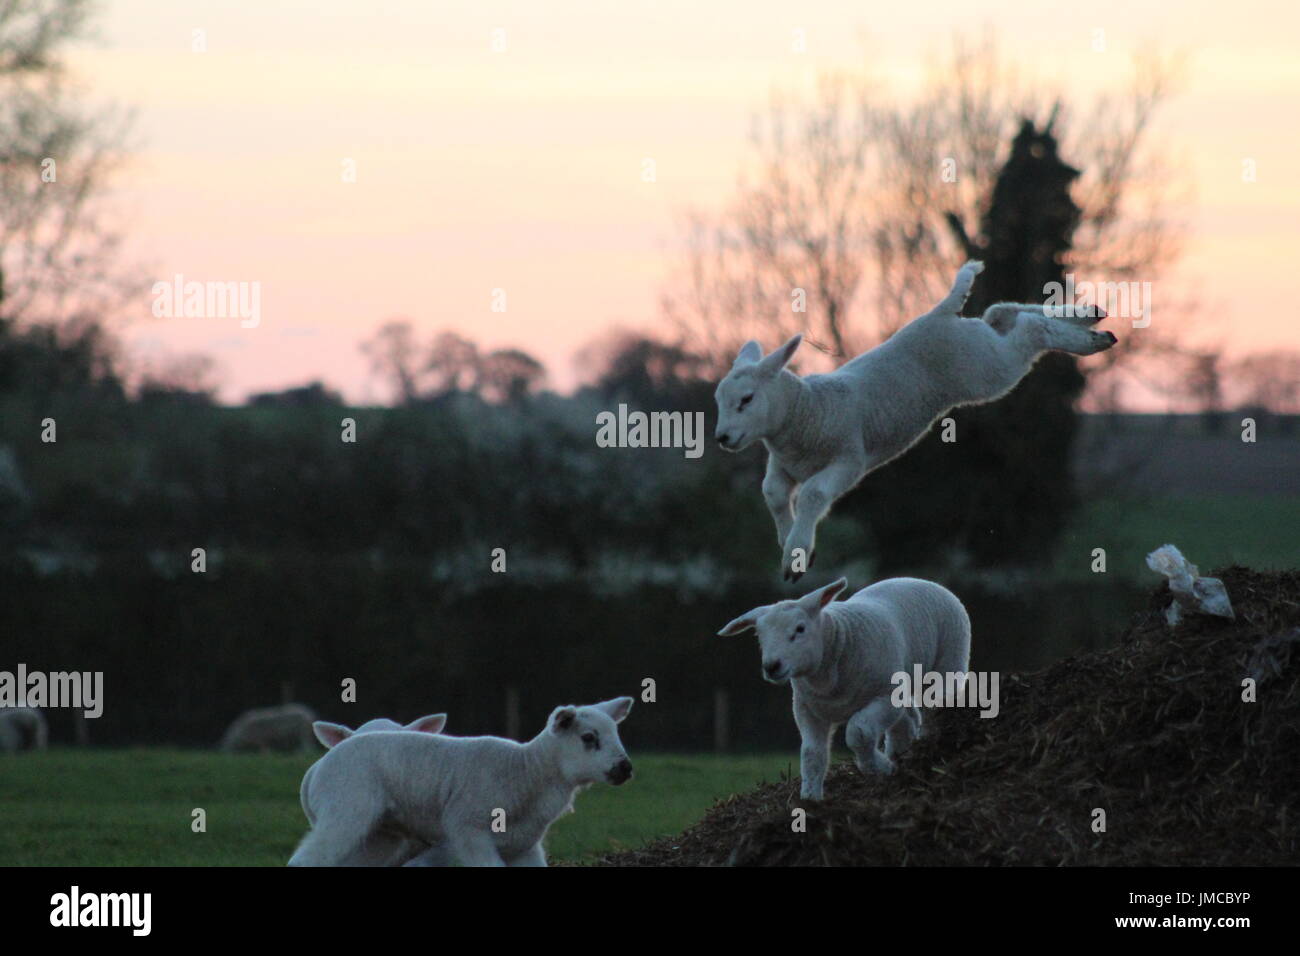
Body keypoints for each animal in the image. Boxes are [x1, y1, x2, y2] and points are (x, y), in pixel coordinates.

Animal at [295, 697, 639, 868]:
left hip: (381, 835)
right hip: (347, 811)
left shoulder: (524, 847)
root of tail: (315, 771)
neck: (527, 771)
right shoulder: (468, 831)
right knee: (307, 860)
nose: (626, 769)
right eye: (589, 738)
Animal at [712, 257, 1118, 580]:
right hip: (982, 343)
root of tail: (938, 315)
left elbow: (812, 494)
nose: (722, 439)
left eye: (746, 400)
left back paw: (1088, 339)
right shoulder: (782, 466)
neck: (806, 410)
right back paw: (1090, 318)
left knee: (1027, 332)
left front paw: (796, 553)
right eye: (719, 401)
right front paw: (789, 543)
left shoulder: (848, 460)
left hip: (987, 367)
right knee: (1002, 313)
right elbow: (773, 494)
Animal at [717, 574, 972, 801]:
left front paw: (879, 767)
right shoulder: (807, 710)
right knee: (909, 719)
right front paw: (810, 797)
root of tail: (920, 580)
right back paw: (901, 753)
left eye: (800, 629)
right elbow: (812, 753)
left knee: (934, 709)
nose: (771, 666)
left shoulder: (885, 697)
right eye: (760, 636)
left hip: (947, 665)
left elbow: (858, 732)